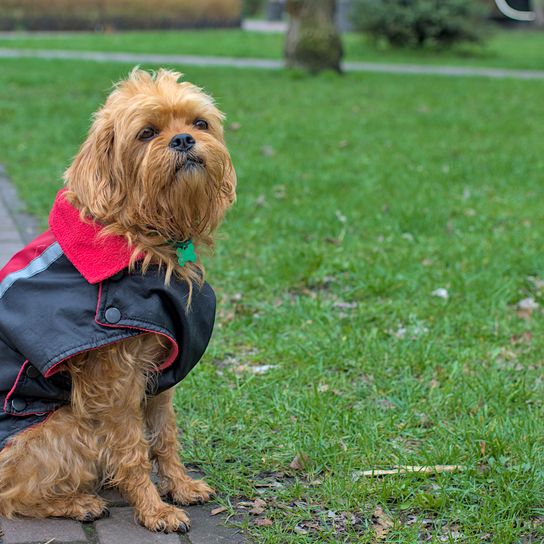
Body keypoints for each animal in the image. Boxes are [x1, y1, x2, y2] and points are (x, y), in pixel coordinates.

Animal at [0, 68, 236, 532]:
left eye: (199, 123)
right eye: (146, 133)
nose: (184, 140)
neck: (139, 238)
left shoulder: (159, 369)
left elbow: (164, 436)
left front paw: (180, 486)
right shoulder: (115, 384)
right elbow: (133, 450)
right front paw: (154, 508)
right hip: (66, 426)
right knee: (12, 495)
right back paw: (78, 503)